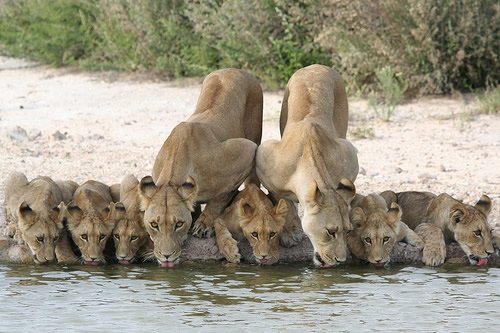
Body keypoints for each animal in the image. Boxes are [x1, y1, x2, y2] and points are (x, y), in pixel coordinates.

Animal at [137, 68, 262, 268]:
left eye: (178, 224)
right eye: (154, 225)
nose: (166, 256)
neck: (173, 176)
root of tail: (235, 69)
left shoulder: (246, 151)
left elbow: (219, 199)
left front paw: (203, 225)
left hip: (255, 132)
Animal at [256, 65, 358, 268]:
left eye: (348, 231)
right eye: (331, 231)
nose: (340, 260)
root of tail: (316, 66)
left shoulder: (349, 155)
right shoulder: (264, 161)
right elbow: (283, 201)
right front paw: (289, 234)